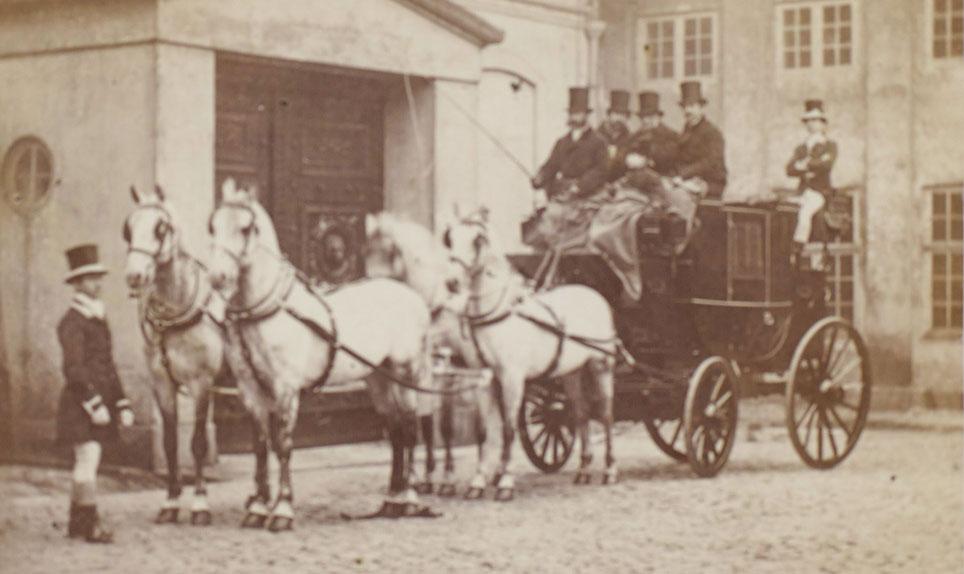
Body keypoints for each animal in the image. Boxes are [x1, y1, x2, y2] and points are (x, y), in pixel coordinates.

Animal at [121, 187, 223, 528]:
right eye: (128, 228)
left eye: (160, 228)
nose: (134, 275)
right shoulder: (161, 384)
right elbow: (169, 443)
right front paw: (171, 502)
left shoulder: (202, 384)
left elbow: (198, 443)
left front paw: (200, 504)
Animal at [211, 181, 440, 532]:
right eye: (212, 225)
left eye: (246, 228)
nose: (217, 277)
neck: (268, 309)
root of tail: (405, 290)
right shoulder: (249, 390)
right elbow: (261, 446)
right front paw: (259, 507)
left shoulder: (286, 389)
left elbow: (283, 445)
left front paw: (283, 509)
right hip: (378, 379)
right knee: (395, 431)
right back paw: (392, 499)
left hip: (405, 374)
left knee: (410, 428)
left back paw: (410, 498)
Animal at [364, 214, 490, 498]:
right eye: (365, 259)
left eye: (389, 254)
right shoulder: (433, 372)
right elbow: (429, 424)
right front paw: (426, 477)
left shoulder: (458, 373)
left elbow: (456, 426)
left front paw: (452, 479)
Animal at [442, 208, 616, 500]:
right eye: (449, 237)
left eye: (478, 239)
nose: (452, 282)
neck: (497, 314)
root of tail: (592, 294)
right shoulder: (484, 380)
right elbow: (485, 432)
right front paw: (478, 482)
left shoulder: (513, 379)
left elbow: (509, 429)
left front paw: (505, 483)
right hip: (571, 373)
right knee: (581, 412)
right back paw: (583, 470)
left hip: (600, 366)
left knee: (604, 414)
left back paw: (610, 470)